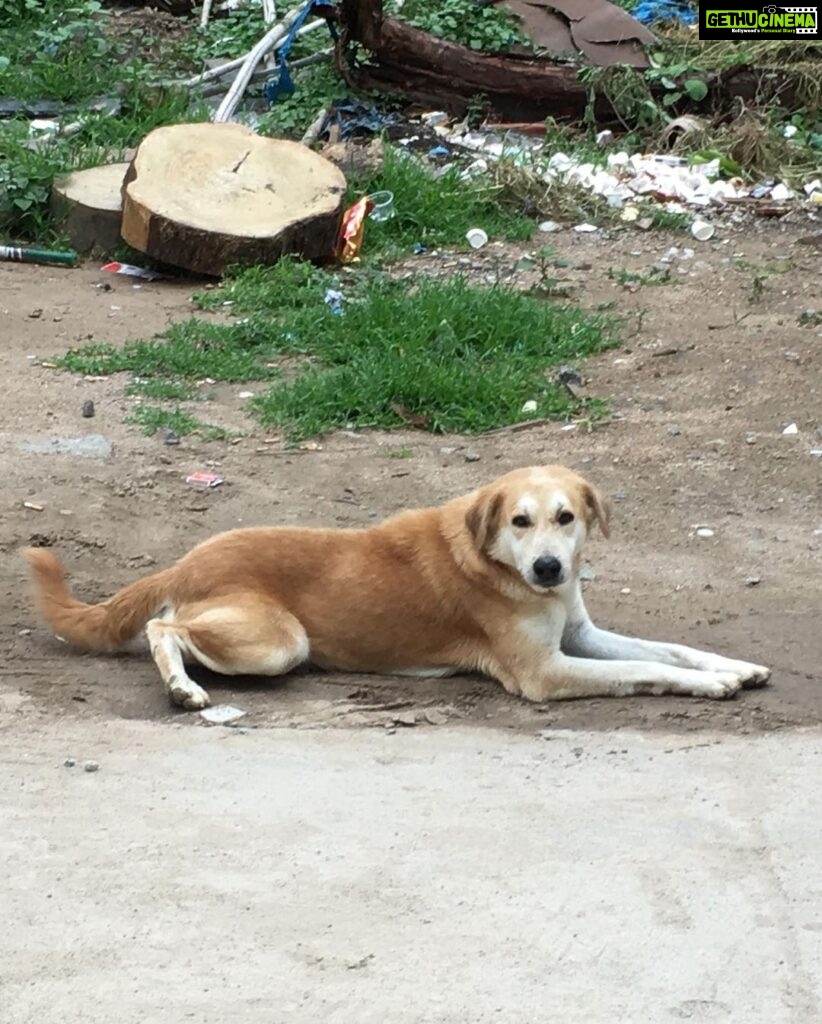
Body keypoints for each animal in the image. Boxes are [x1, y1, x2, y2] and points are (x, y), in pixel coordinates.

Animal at [25, 466, 769, 712]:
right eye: (520, 520)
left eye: (567, 518)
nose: (549, 569)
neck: (500, 563)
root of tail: (183, 562)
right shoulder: (545, 673)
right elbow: (647, 669)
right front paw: (711, 687)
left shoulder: (579, 634)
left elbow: (667, 649)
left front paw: (735, 666)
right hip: (279, 641)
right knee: (162, 628)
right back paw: (182, 689)